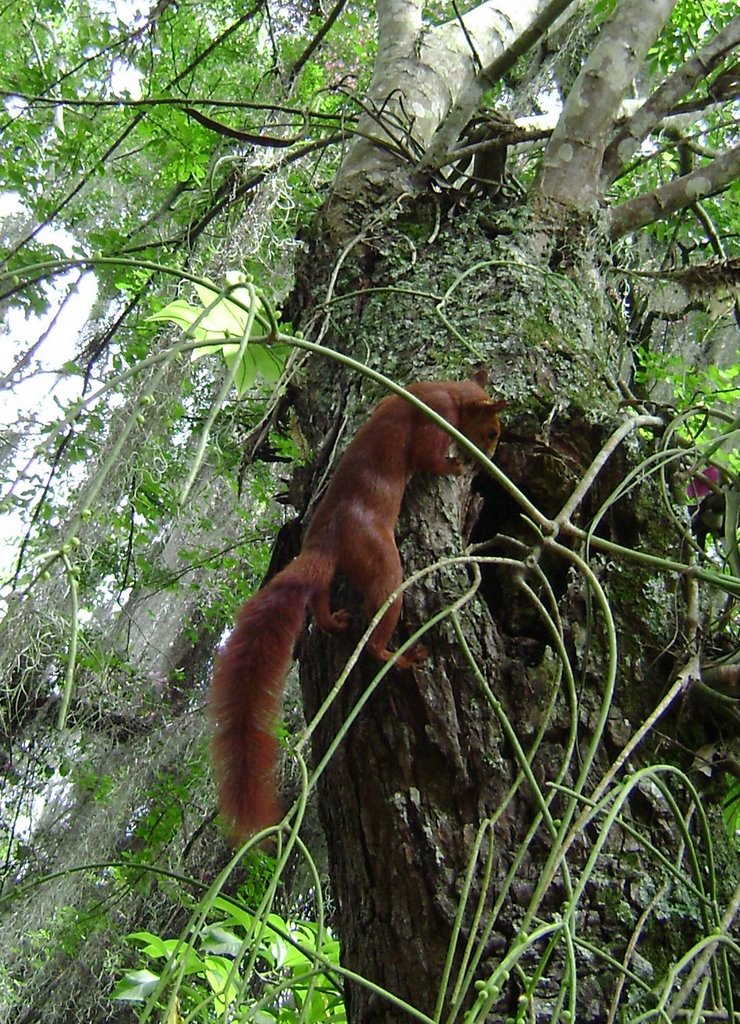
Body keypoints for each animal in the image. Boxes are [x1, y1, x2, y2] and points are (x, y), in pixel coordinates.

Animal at [210, 368, 505, 839]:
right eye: (491, 431)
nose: (486, 460)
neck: (446, 391)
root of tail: (325, 538)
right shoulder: (433, 419)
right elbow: (427, 456)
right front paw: (455, 466)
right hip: (380, 562)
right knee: (377, 628)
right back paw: (395, 655)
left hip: (334, 571)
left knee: (318, 600)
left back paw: (334, 621)